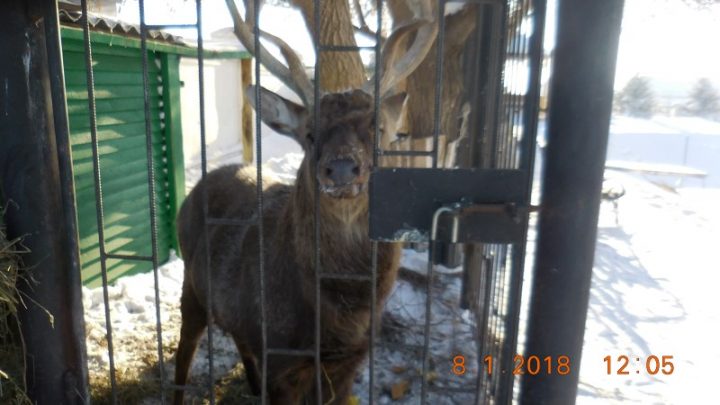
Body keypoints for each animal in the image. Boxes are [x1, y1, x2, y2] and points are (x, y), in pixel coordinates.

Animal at [173, 1, 437, 403]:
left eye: (377, 129)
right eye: (310, 134)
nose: (341, 167)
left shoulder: (350, 362)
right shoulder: (279, 357)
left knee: (237, 338)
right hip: (190, 279)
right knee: (183, 353)